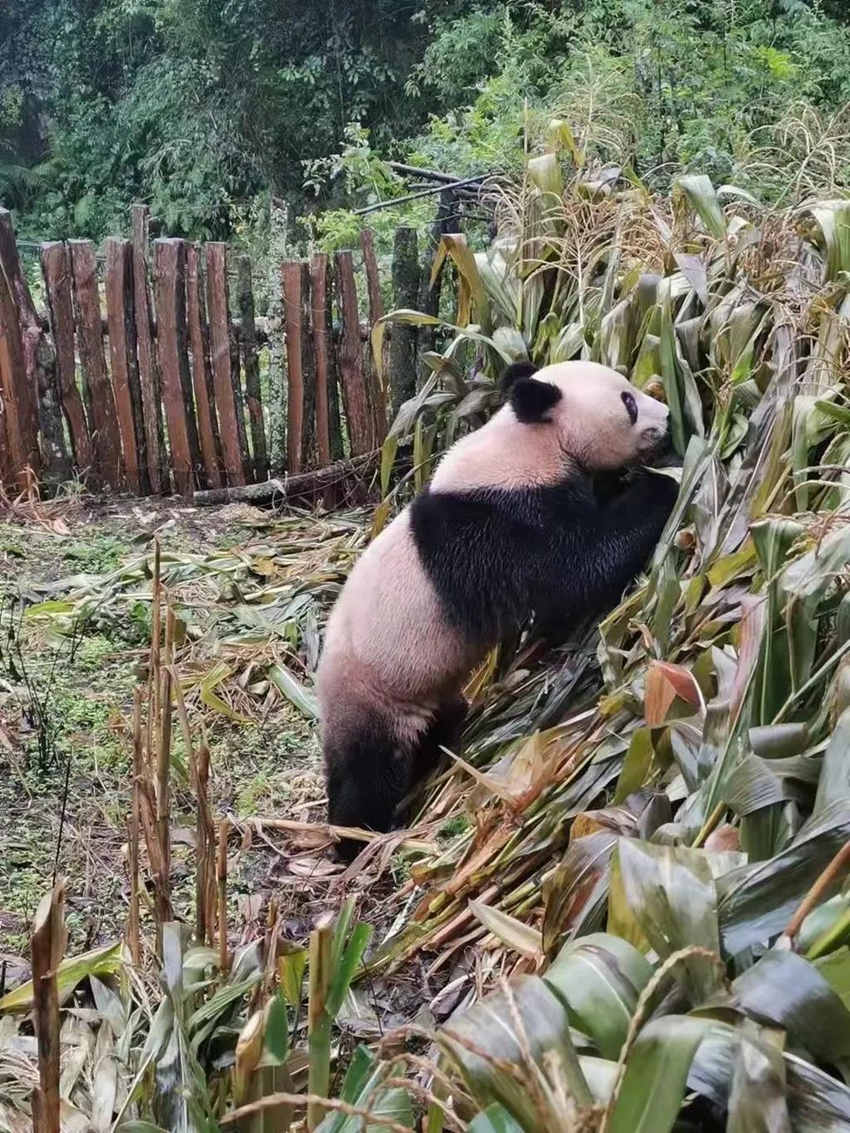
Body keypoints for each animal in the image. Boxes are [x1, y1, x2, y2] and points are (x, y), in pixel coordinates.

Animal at [317, 358, 684, 852]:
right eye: (627, 401)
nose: (667, 416)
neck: (529, 440)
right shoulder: (497, 523)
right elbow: (570, 572)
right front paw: (660, 485)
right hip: (372, 692)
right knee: (366, 771)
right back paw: (355, 836)